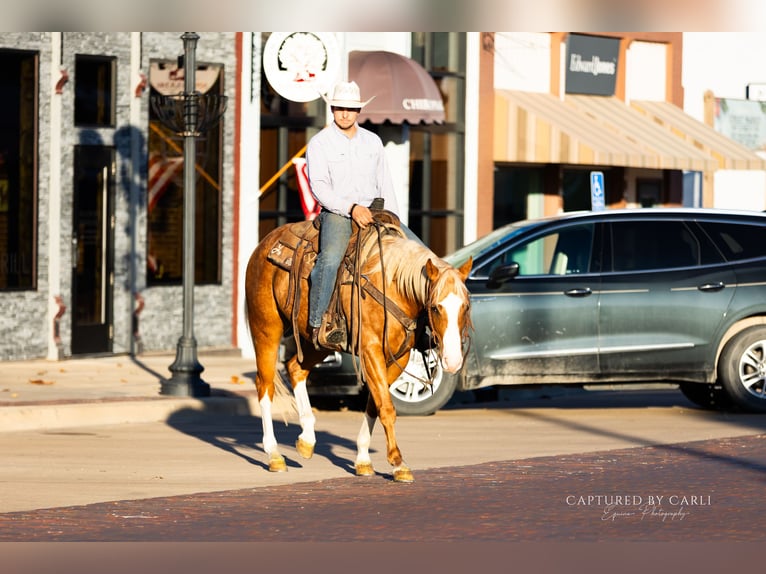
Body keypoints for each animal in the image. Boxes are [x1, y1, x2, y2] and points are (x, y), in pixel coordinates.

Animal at [244, 218, 472, 482]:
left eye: (466, 306)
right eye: (435, 307)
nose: (453, 360)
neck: (393, 287)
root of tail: (266, 243)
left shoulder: (398, 358)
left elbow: (375, 402)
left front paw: (363, 459)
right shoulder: (370, 350)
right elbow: (386, 406)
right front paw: (398, 463)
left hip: (317, 341)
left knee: (295, 369)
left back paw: (307, 439)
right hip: (266, 328)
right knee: (265, 385)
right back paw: (274, 454)